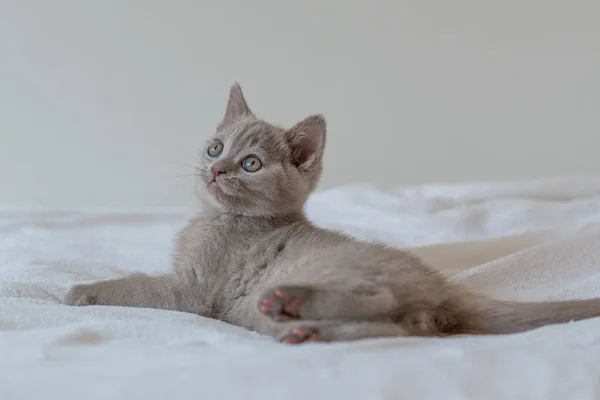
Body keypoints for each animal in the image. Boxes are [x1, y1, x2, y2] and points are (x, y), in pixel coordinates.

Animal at [64, 84, 600, 344]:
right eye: (215, 147)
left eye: (250, 163)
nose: (215, 169)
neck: (219, 219)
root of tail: (444, 287)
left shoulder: (192, 292)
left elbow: (139, 287)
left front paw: (81, 291)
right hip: (404, 317)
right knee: (411, 328)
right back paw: (308, 328)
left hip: (334, 270)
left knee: (383, 298)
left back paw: (295, 302)